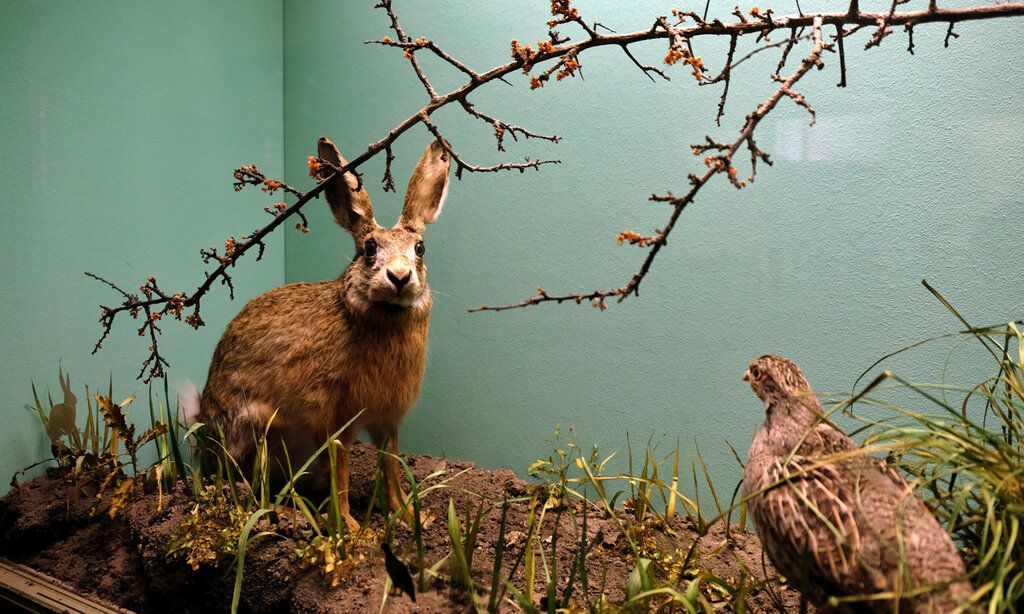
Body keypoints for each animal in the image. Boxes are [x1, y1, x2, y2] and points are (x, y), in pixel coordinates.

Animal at [198, 136, 451, 531]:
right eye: (369, 249)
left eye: (420, 249)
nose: (399, 277)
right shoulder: (333, 419)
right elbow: (341, 472)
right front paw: (350, 528)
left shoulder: (388, 422)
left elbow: (391, 467)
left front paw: (410, 516)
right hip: (259, 427)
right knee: (250, 484)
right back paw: (287, 513)